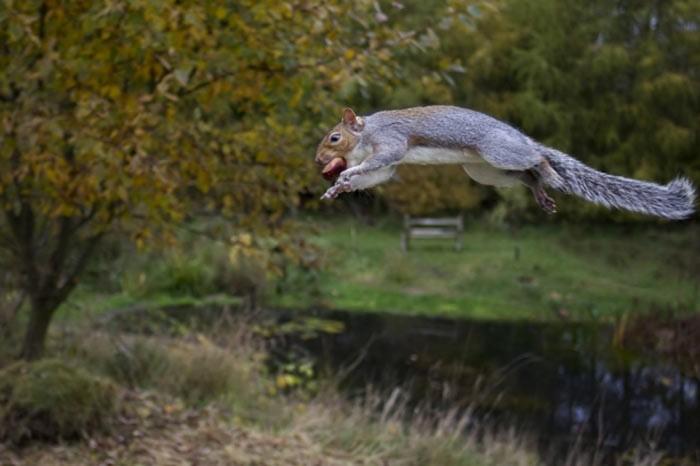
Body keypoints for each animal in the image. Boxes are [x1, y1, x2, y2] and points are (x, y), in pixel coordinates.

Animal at [316, 106, 696, 219]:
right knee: (525, 176)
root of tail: (523, 138)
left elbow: (381, 161)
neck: (366, 133)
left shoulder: (392, 142)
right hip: (486, 170)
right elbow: (378, 174)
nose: (319, 160)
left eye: (334, 138)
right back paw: (540, 191)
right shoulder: (387, 165)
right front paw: (339, 188)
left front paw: (349, 172)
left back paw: (549, 170)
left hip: (498, 152)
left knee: (536, 159)